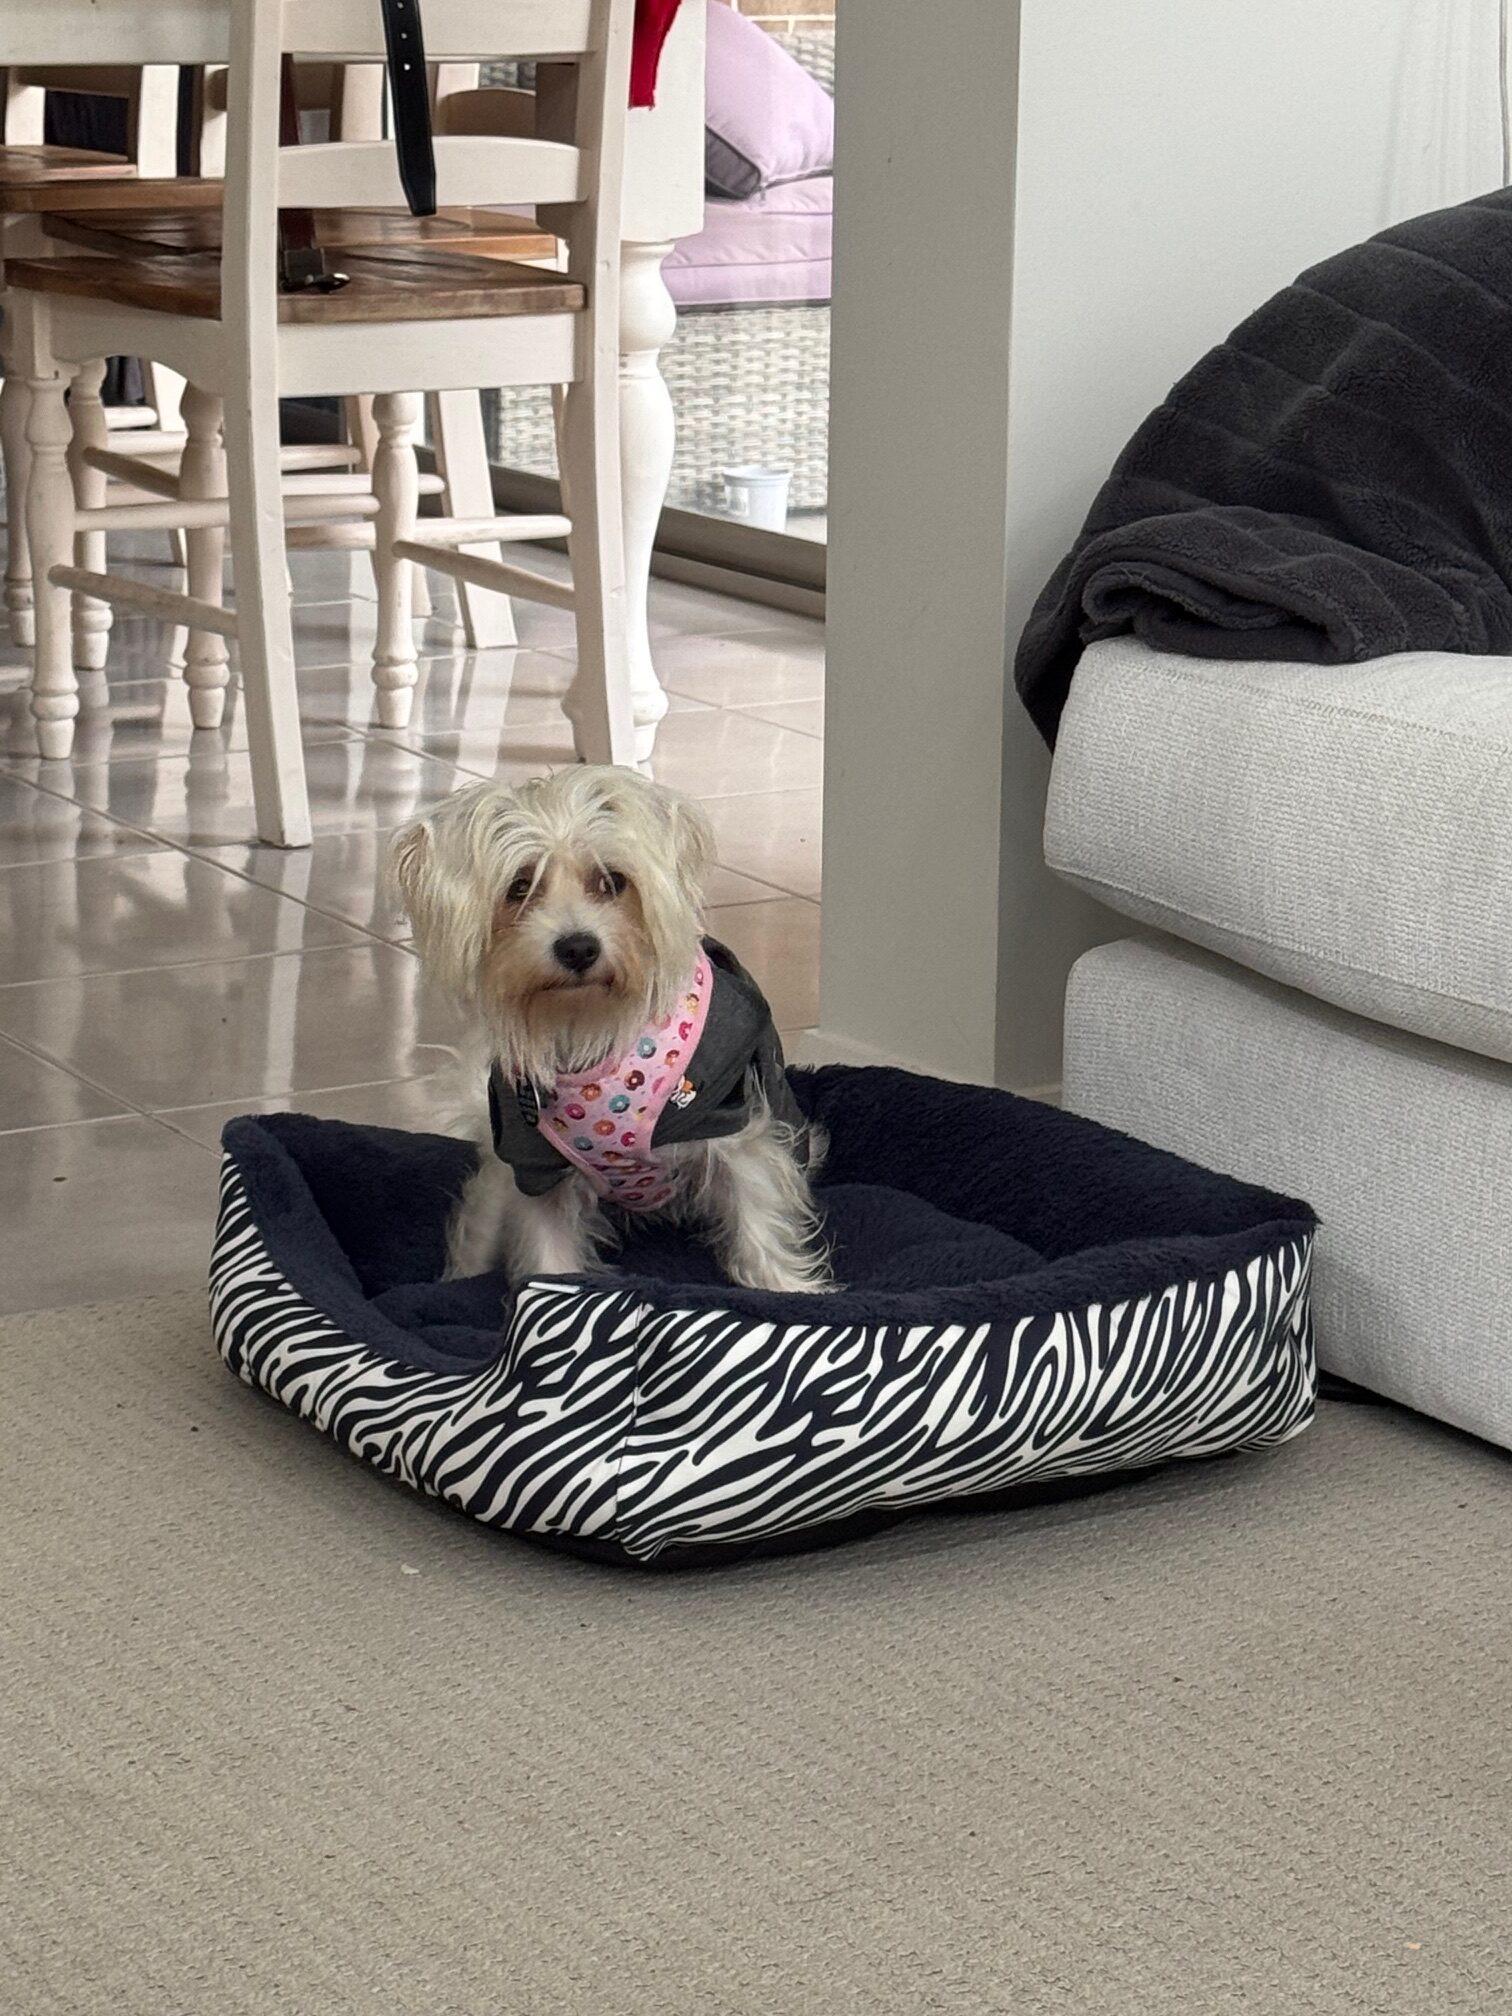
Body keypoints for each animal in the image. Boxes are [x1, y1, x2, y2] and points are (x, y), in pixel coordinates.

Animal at [392, 768, 835, 1296]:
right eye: (519, 887)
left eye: (612, 882)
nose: (578, 947)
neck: (593, 1028)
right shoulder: (539, 1174)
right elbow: (550, 1256)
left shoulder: (737, 1136)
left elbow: (759, 1231)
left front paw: (791, 1295)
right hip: (496, 1189)